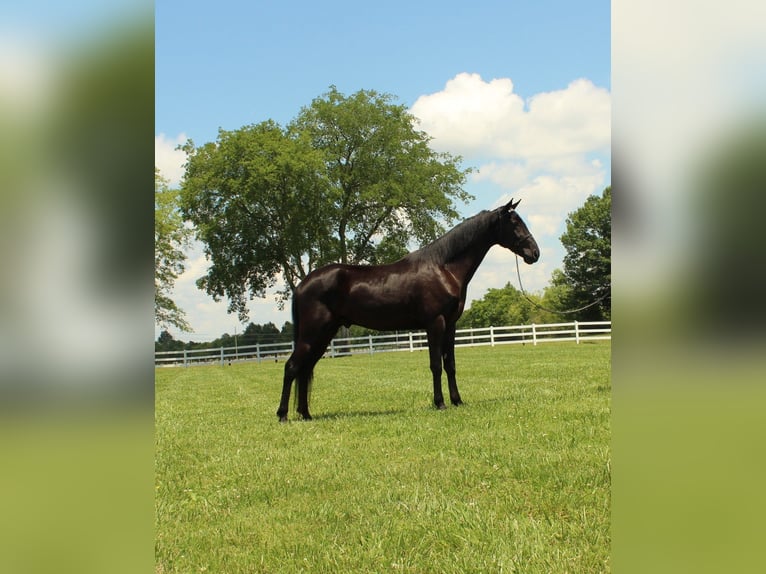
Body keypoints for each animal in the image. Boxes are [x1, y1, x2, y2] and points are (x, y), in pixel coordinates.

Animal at [278, 199, 540, 424]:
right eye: (514, 222)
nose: (535, 253)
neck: (443, 267)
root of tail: (302, 285)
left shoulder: (451, 325)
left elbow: (450, 364)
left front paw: (457, 401)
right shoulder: (435, 323)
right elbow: (435, 365)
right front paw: (440, 403)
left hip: (324, 335)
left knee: (305, 369)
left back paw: (306, 414)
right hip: (313, 334)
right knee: (292, 367)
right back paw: (283, 415)